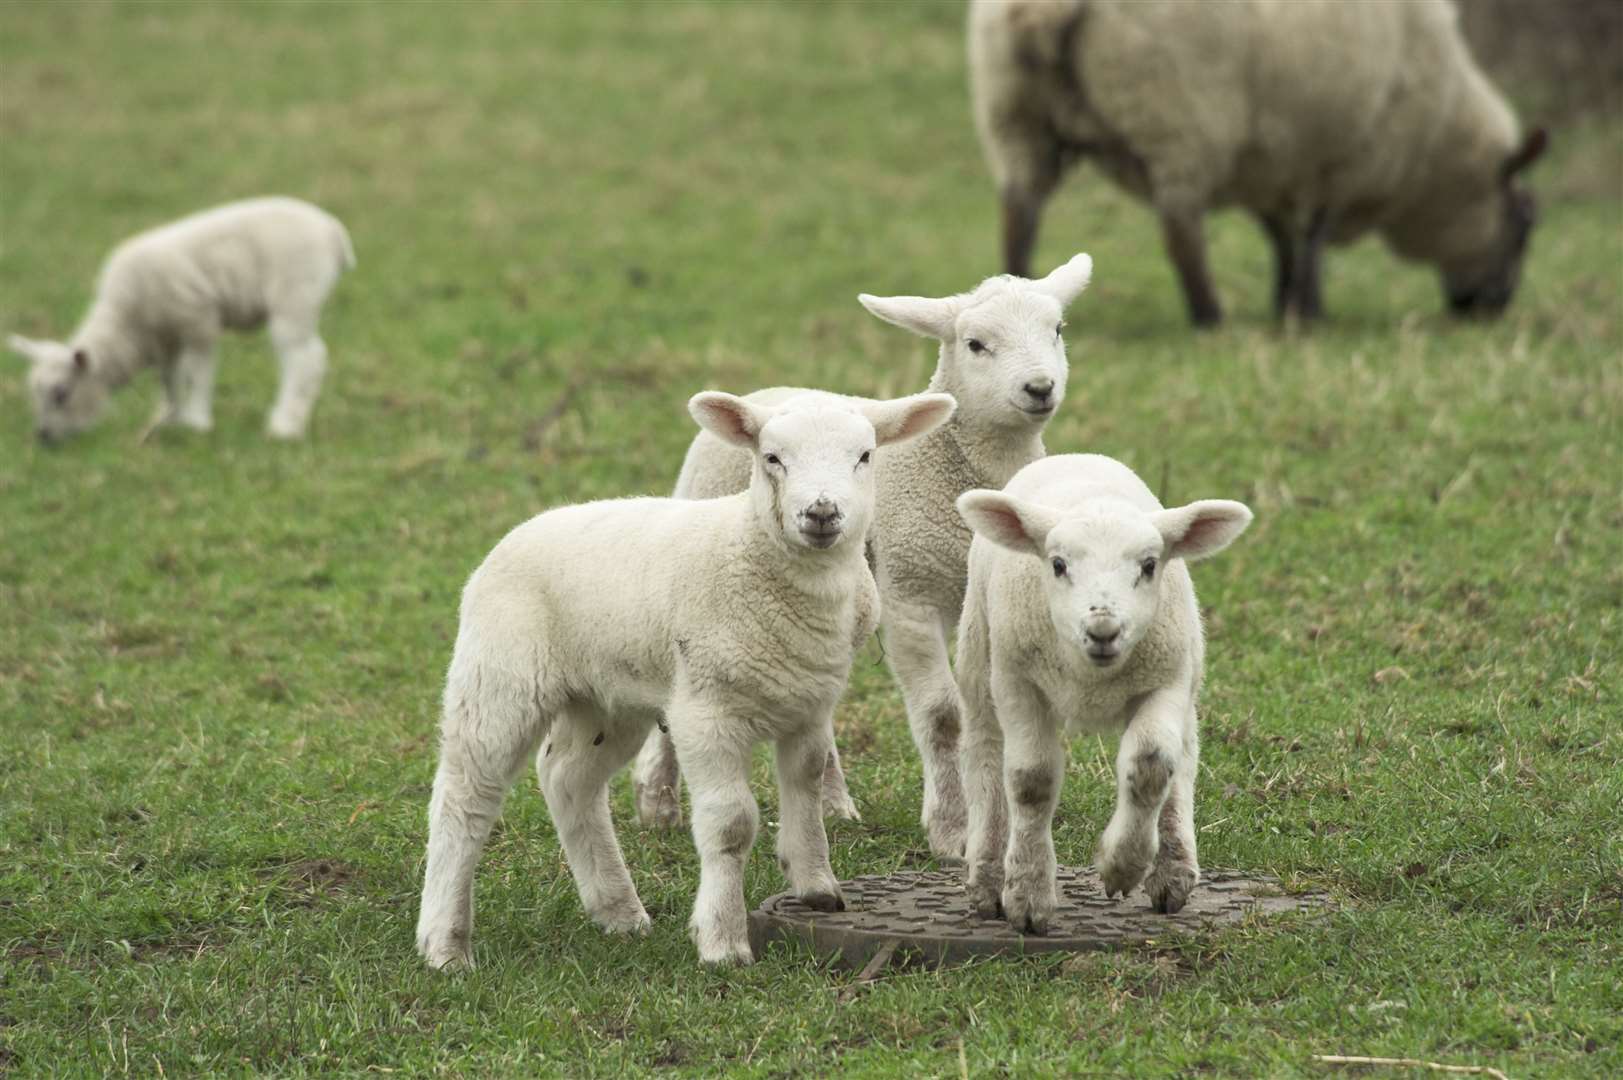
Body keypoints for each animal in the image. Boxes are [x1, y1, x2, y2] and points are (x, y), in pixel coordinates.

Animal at [6, 195, 355, 441]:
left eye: (61, 393)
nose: (42, 437)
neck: (125, 323)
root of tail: (333, 231)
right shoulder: (165, 340)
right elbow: (169, 379)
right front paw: (166, 418)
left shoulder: (198, 321)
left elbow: (198, 374)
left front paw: (196, 422)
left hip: (295, 297)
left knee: (304, 359)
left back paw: (285, 426)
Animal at [412, 388, 954, 967]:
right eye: (772, 458)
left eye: (865, 456)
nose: (822, 513)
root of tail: (519, 533)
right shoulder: (704, 712)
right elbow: (732, 822)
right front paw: (723, 941)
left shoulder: (809, 703)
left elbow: (807, 783)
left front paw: (816, 886)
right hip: (502, 674)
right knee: (465, 794)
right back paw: (445, 944)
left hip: (608, 697)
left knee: (568, 778)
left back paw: (618, 911)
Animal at [626, 254, 1097, 857]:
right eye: (975, 344)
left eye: (1057, 329)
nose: (1040, 388)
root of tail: (769, 391)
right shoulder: (911, 594)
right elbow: (943, 715)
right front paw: (950, 828)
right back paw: (657, 802)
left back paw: (831, 804)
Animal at [947, 451, 1252, 928]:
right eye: (1057, 564)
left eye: (1149, 565)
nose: (1103, 630)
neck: (1089, 677)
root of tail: (1074, 457)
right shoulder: (1018, 683)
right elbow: (1031, 779)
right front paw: (1028, 894)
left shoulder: (1165, 681)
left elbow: (1150, 765)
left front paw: (1122, 865)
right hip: (981, 659)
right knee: (984, 752)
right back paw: (987, 877)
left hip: (1187, 670)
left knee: (1182, 758)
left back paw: (1173, 869)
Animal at [967, 0, 1551, 324]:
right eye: (1525, 224)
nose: (1491, 309)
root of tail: (1044, 8)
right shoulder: (1345, 156)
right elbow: (1313, 236)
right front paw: (1308, 311)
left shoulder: (1273, 161)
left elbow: (1281, 236)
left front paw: (1284, 299)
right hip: (1176, 114)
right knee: (1181, 232)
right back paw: (1210, 315)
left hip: (1014, 113)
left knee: (1019, 214)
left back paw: (1022, 296)